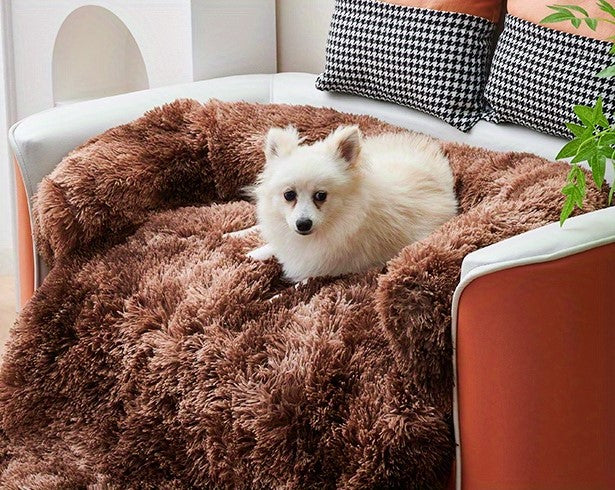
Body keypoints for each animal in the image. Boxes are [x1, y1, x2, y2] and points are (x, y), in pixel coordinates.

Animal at [230, 124, 458, 282]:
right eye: (289, 195)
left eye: (321, 196)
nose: (303, 224)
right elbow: (269, 246)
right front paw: (248, 252)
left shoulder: (322, 272)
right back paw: (233, 234)